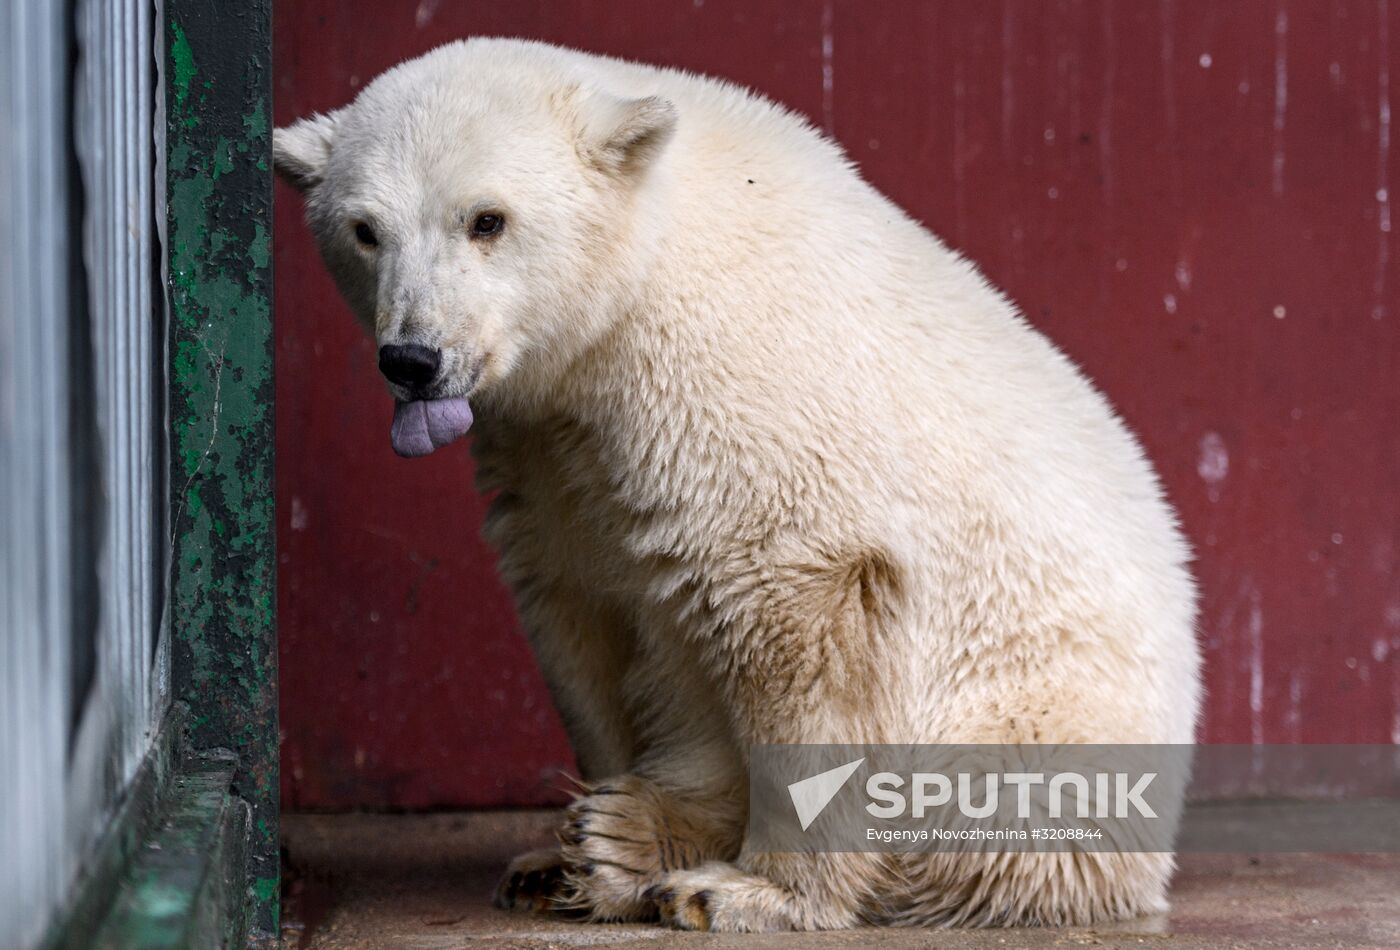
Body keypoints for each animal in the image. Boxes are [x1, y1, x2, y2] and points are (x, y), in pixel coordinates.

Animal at [275, 39, 1204, 934]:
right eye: (364, 230)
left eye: (487, 219)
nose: (413, 357)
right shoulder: (551, 449)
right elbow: (580, 612)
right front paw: (575, 854)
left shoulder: (743, 393)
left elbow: (796, 613)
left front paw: (751, 892)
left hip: (1030, 729)